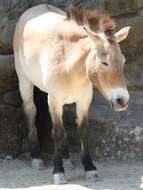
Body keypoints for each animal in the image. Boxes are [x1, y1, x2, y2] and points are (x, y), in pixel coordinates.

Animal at [13, 3, 131, 184]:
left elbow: (82, 131)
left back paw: (67, 159)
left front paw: (90, 168)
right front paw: (58, 171)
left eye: (123, 61)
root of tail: (35, 8)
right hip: (25, 83)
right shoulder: (54, 100)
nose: (122, 100)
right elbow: (57, 133)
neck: (70, 65)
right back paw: (37, 158)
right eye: (104, 62)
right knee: (31, 112)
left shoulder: (83, 100)